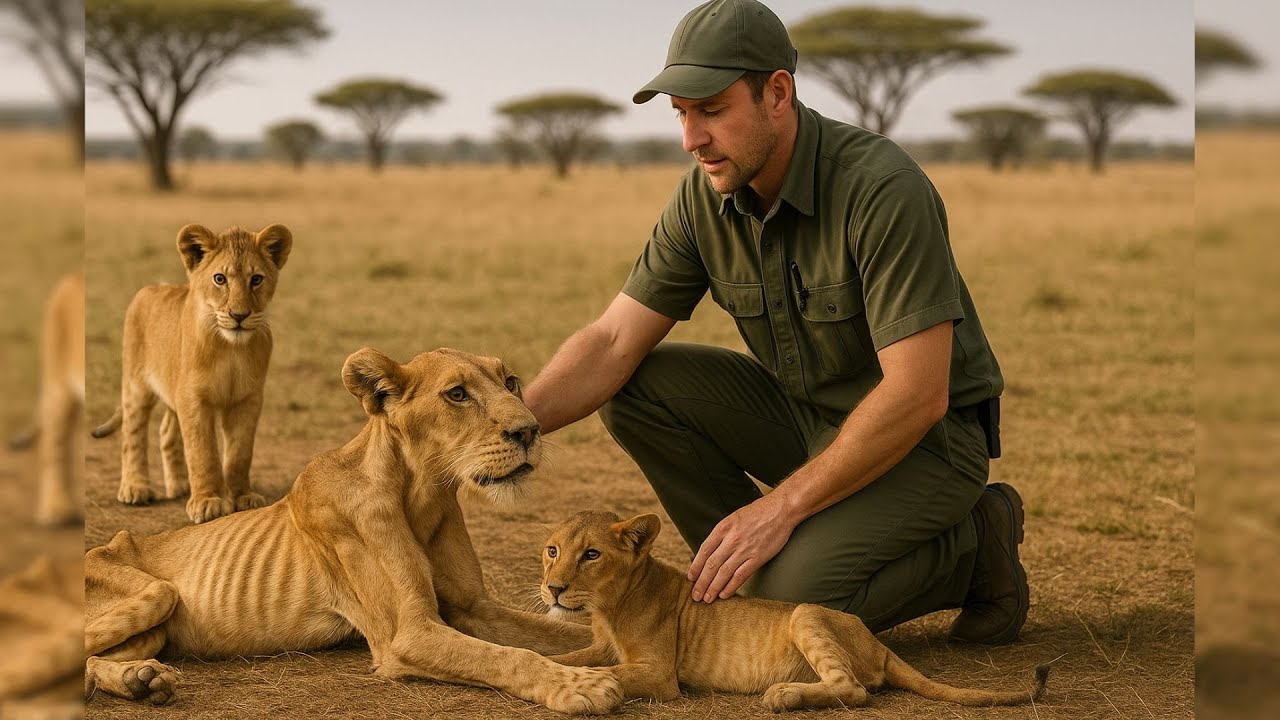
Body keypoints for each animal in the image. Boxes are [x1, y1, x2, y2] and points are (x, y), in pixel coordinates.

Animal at [84, 347, 620, 714]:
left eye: (511, 381)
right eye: (457, 394)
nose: (529, 431)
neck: (423, 492)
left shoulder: (475, 608)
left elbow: (551, 633)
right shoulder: (408, 634)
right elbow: (512, 657)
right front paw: (582, 687)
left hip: (156, 629)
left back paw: (140, 679)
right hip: (158, 593)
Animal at [92, 223, 291, 524]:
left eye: (256, 279)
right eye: (220, 279)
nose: (239, 315)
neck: (231, 349)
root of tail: (153, 287)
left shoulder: (248, 399)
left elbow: (240, 453)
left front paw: (242, 497)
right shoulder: (194, 398)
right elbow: (202, 451)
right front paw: (207, 502)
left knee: (165, 431)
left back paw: (179, 486)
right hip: (136, 385)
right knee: (132, 433)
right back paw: (135, 489)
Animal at [542, 511, 1050, 712]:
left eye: (591, 555)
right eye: (552, 550)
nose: (552, 589)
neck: (608, 608)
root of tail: (879, 645)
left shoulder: (659, 675)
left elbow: (611, 673)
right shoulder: (603, 648)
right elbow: (561, 659)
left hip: (807, 613)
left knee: (853, 690)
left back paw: (784, 695)